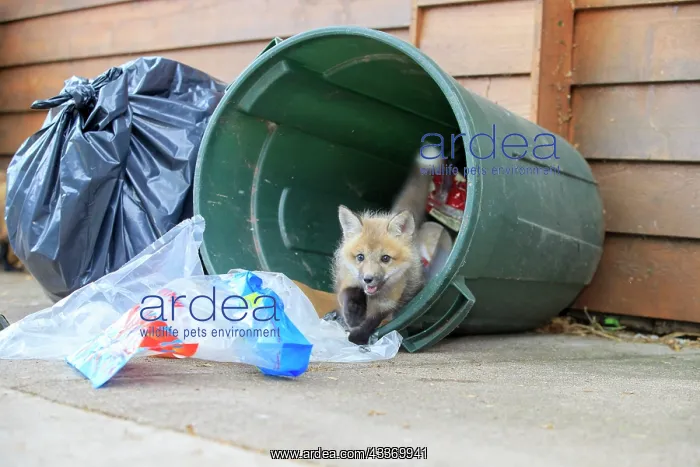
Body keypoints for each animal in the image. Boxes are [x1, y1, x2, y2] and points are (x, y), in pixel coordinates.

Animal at [331, 144, 444, 345]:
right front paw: (353, 316)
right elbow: (349, 294)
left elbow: (373, 321)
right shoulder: (346, 279)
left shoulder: (388, 303)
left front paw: (358, 337)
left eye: (385, 258)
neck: (372, 295)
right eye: (360, 257)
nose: (368, 279)